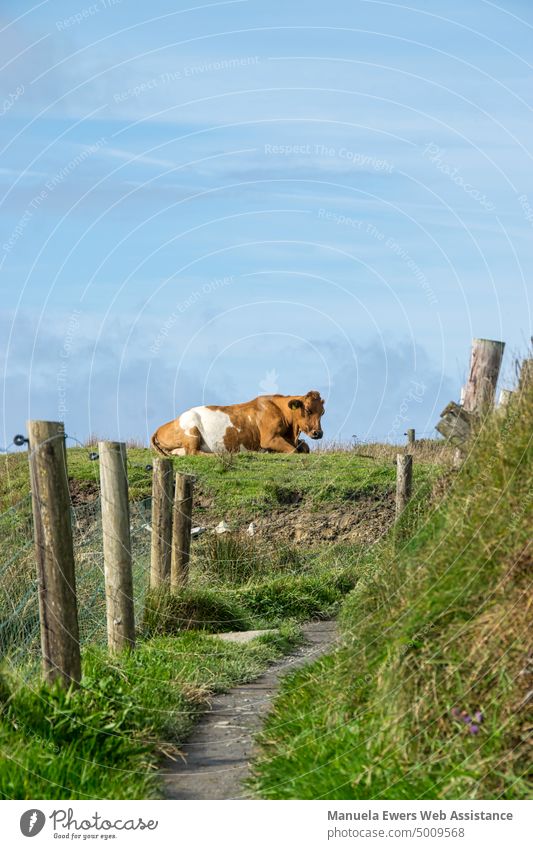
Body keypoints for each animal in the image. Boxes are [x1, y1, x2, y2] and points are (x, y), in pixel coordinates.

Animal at [151, 392, 324, 458]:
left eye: (322, 412)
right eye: (308, 410)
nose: (318, 433)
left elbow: (304, 447)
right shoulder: (269, 438)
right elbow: (294, 451)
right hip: (191, 428)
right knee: (194, 452)